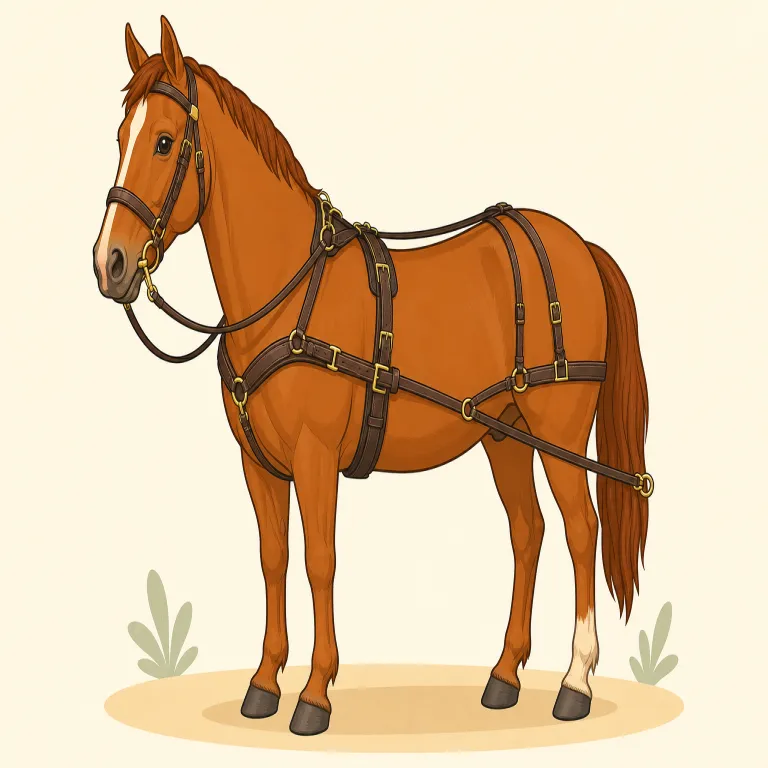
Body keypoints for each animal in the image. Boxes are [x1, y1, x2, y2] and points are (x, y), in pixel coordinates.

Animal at [92, 16, 651, 737]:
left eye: (164, 142)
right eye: (120, 139)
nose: (109, 263)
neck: (289, 290)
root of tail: (578, 246)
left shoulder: (315, 456)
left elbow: (319, 561)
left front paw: (314, 694)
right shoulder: (258, 464)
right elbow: (274, 560)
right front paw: (264, 682)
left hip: (559, 430)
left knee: (582, 532)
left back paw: (575, 681)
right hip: (506, 434)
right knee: (528, 533)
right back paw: (503, 676)